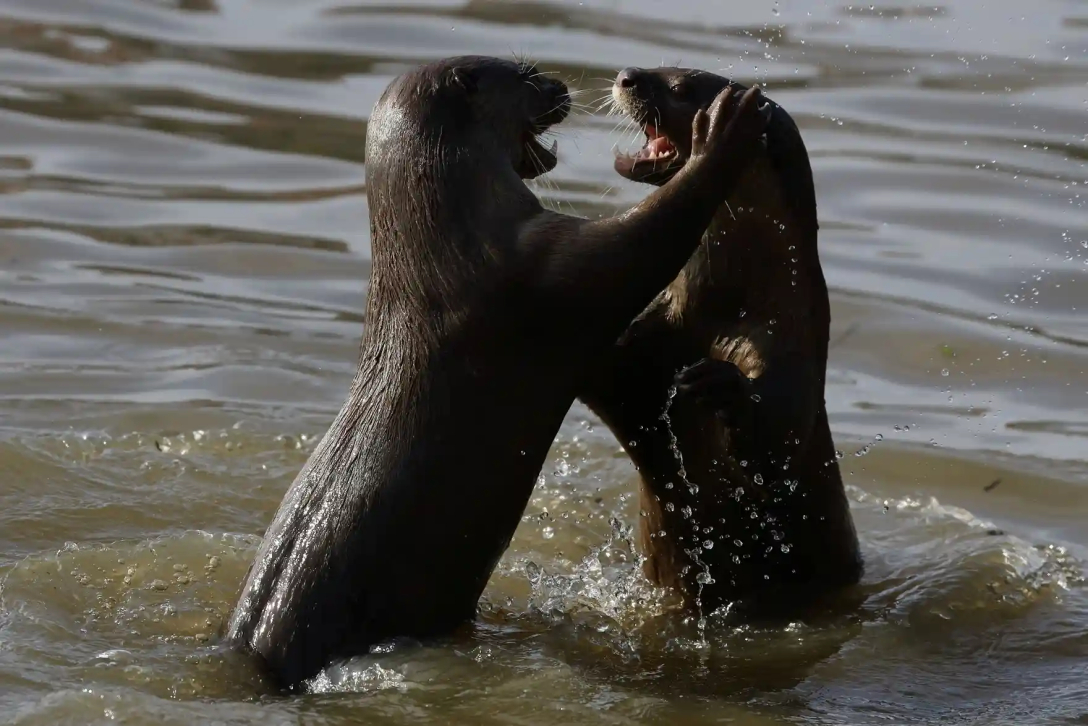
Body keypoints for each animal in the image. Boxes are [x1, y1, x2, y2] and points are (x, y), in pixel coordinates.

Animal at [225, 55, 770, 687]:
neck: (446, 244)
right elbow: (647, 238)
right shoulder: (541, 273)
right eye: (525, 73)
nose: (561, 84)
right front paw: (720, 136)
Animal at [578, 66, 857, 618]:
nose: (626, 76)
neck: (720, 307)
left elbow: (780, 445)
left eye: (681, 87)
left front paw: (717, 382)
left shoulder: (787, 341)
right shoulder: (647, 334)